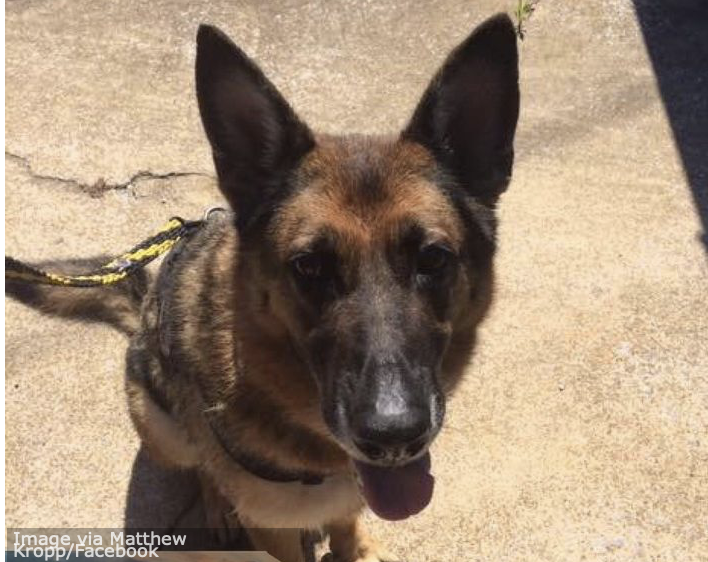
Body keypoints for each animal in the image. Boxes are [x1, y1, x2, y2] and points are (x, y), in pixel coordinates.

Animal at [6, 13, 520, 560]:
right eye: (309, 266)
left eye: (433, 258)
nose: (393, 437)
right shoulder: (271, 527)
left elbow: (345, 524)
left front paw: (356, 546)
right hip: (160, 423)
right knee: (202, 465)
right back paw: (218, 507)